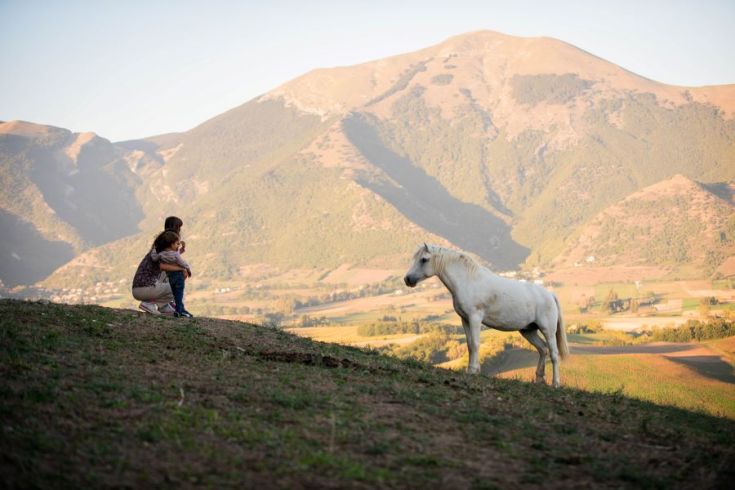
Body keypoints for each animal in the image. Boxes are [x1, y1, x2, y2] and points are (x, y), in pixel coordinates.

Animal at [403, 244, 569, 387]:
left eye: (424, 259)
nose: (407, 279)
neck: (469, 281)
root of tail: (550, 294)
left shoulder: (475, 318)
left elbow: (476, 344)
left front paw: (474, 370)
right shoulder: (465, 320)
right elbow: (470, 345)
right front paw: (470, 369)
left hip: (548, 330)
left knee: (553, 354)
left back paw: (555, 383)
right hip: (528, 330)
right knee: (542, 349)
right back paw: (539, 379)